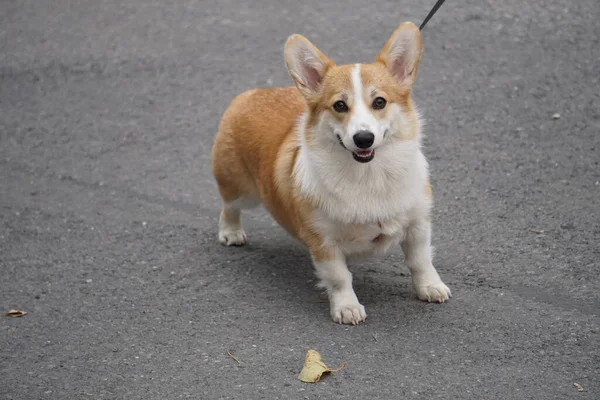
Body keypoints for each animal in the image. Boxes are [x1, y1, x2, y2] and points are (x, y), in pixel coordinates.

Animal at [211, 21, 450, 324]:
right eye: (339, 105)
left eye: (380, 102)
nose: (363, 139)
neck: (368, 176)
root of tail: (250, 95)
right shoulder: (323, 241)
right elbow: (339, 277)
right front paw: (347, 308)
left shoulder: (418, 223)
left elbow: (421, 261)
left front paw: (430, 287)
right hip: (241, 189)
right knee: (229, 206)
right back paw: (231, 233)